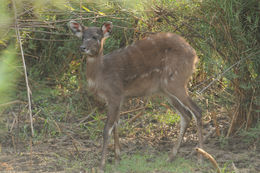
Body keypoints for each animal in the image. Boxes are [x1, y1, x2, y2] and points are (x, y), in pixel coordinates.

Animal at [68, 21, 203, 171]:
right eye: (82, 36)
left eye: (95, 37)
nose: (83, 48)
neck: (101, 74)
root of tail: (195, 55)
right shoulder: (119, 98)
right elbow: (116, 125)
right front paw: (117, 159)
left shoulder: (114, 94)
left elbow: (107, 129)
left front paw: (101, 166)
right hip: (166, 90)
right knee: (186, 115)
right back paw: (171, 157)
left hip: (176, 81)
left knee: (197, 111)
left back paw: (200, 158)